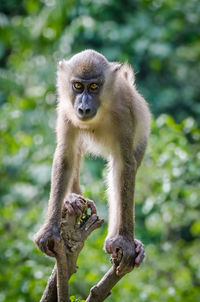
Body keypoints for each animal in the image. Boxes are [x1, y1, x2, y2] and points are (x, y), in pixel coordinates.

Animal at [34, 49, 150, 276]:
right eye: (78, 86)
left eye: (94, 87)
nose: (84, 107)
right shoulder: (66, 111)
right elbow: (66, 157)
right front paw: (49, 230)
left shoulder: (124, 113)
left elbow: (124, 166)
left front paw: (124, 241)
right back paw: (72, 199)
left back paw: (118, 240)